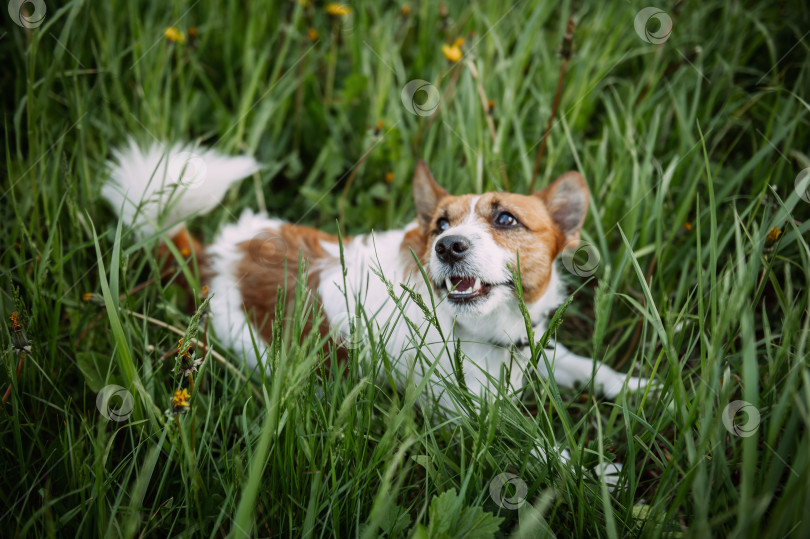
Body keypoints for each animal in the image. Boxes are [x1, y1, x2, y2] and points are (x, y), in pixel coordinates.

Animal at [105, 140, 652, 426]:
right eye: (440, 223)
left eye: (505, 219)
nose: (448, 246)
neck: (474, 330)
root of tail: (218, 255)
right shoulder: (470, 416)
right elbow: (543, 450)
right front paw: (593, 475)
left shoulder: (531, 346)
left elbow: (586, 365)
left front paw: (644, 389)